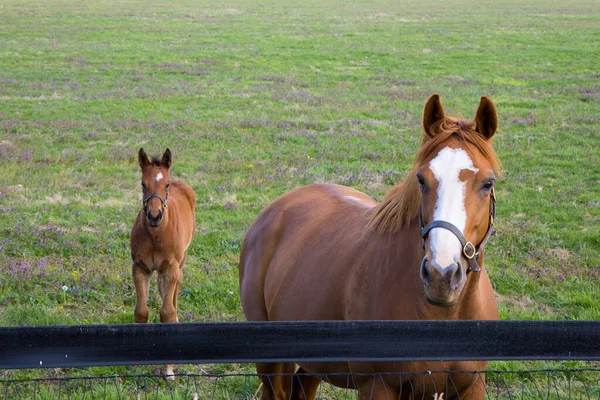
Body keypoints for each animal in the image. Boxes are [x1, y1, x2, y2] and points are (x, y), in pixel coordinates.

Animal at [131, 149, 197, 378]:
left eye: (165, 185)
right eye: (143, 184)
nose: (154, 215)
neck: (155, 236)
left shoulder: (171, 268)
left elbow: (167, 313)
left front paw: (169, 370)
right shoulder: (140, 268)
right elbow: (141, 312)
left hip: (180, 260)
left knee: (175, 290)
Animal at [239, 95, 502, 398]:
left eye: (488, 183)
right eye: (421, 180)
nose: (442, 275)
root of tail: (275, 208)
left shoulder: (473, 384)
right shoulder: (377, 385)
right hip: (269, 362)